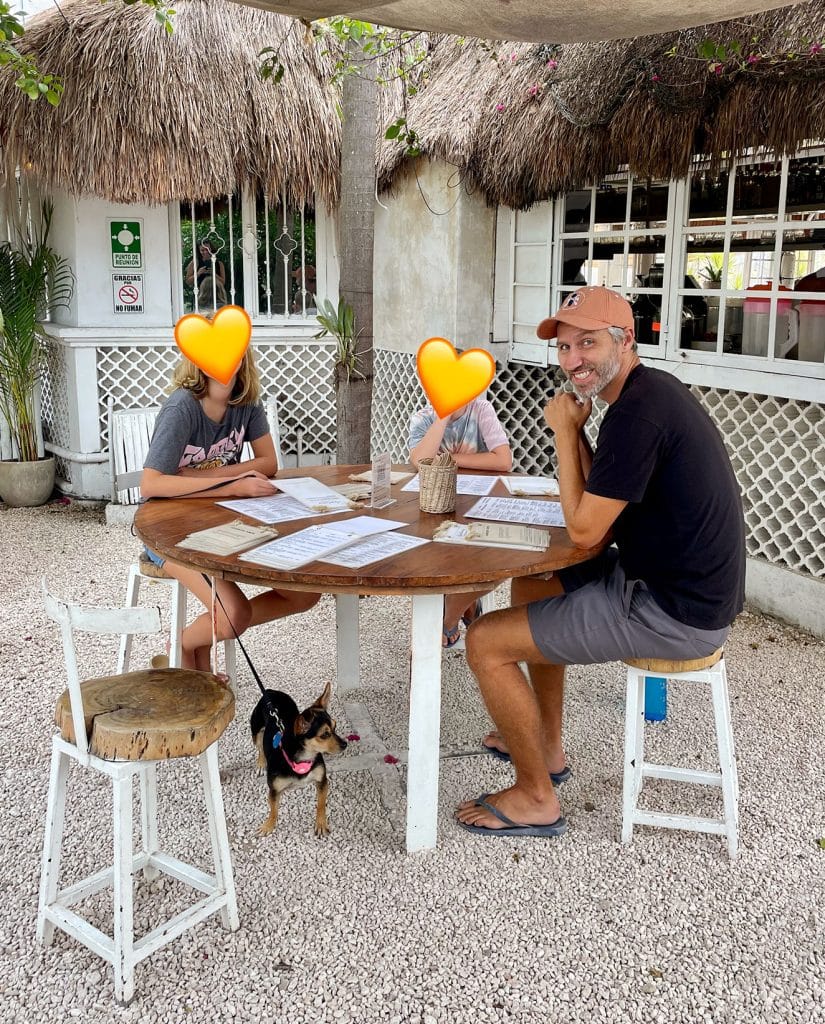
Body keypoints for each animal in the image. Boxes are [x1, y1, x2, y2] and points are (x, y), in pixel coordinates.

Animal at [248, 679, 345, 839]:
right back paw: (261, 763)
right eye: (324, 735)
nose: (345, 744)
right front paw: (268, 825)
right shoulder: (274, 790)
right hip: (256, 732)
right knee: (260, 747)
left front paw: (321, 823)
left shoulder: (322, 781)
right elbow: (273, 810)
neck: (303, 758)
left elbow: (321, 804)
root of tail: (270, 692)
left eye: (335, 727)